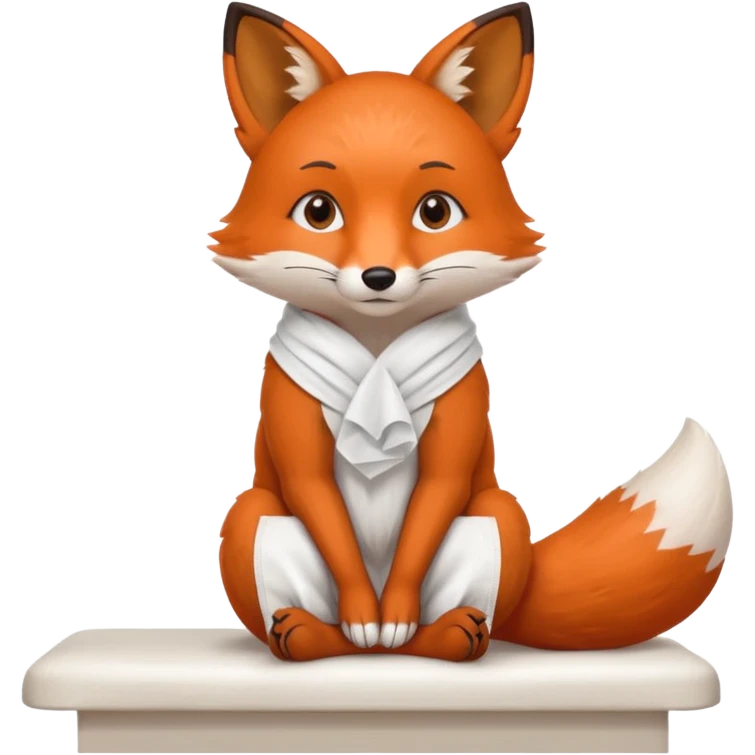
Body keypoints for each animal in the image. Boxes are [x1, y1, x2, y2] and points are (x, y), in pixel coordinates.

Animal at [210, 1, 734, 662]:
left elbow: (429, 513)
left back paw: (446, 634)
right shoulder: (297, 446)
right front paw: (363, 612)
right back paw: (311, 634)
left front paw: (393, 612)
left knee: (444, 630)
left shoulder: (455, 451)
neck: (377, 353)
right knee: (319, 628)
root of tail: (380, 661)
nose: (378, 276)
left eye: (434, 211)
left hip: (496, 516)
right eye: (319, 211)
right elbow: (324, 512)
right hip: (253, 517)